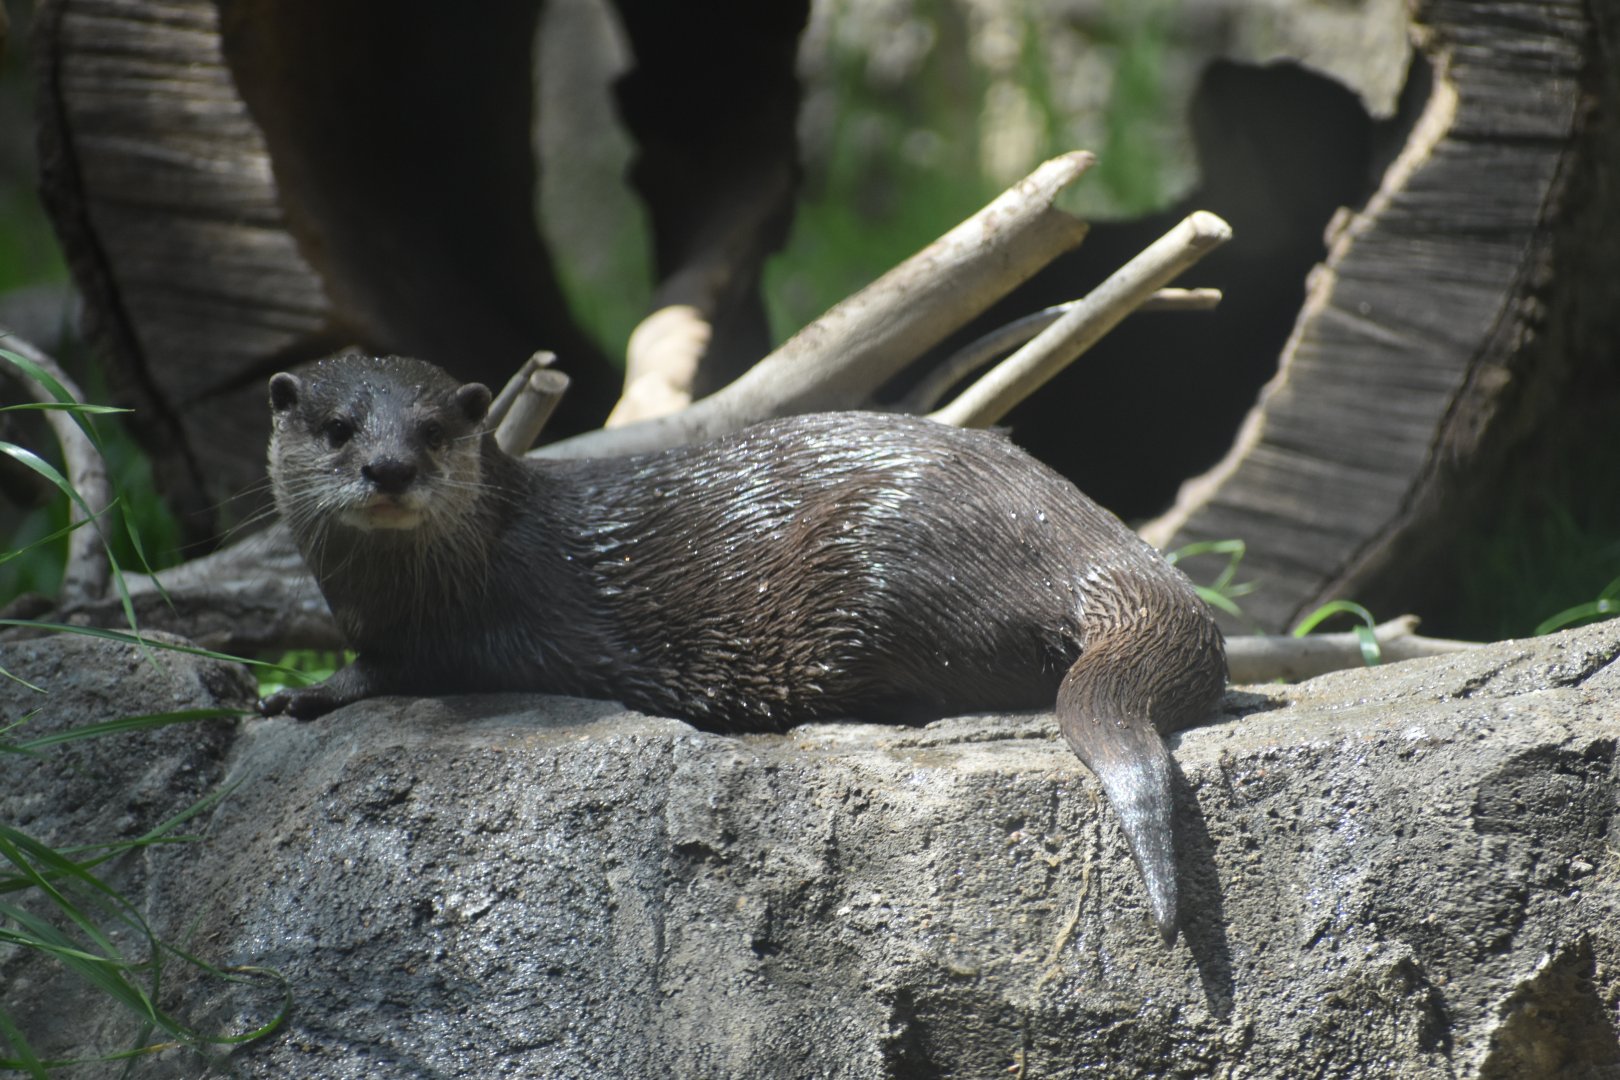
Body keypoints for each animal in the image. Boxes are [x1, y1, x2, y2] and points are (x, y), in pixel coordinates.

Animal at [260, 354, 1226, 943]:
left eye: (432, 432)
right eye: (338, 427)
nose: (389, 470)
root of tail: (1094, 543)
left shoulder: (490, 622)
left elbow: (408, 666)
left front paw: (304, 692)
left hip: (880, 567)